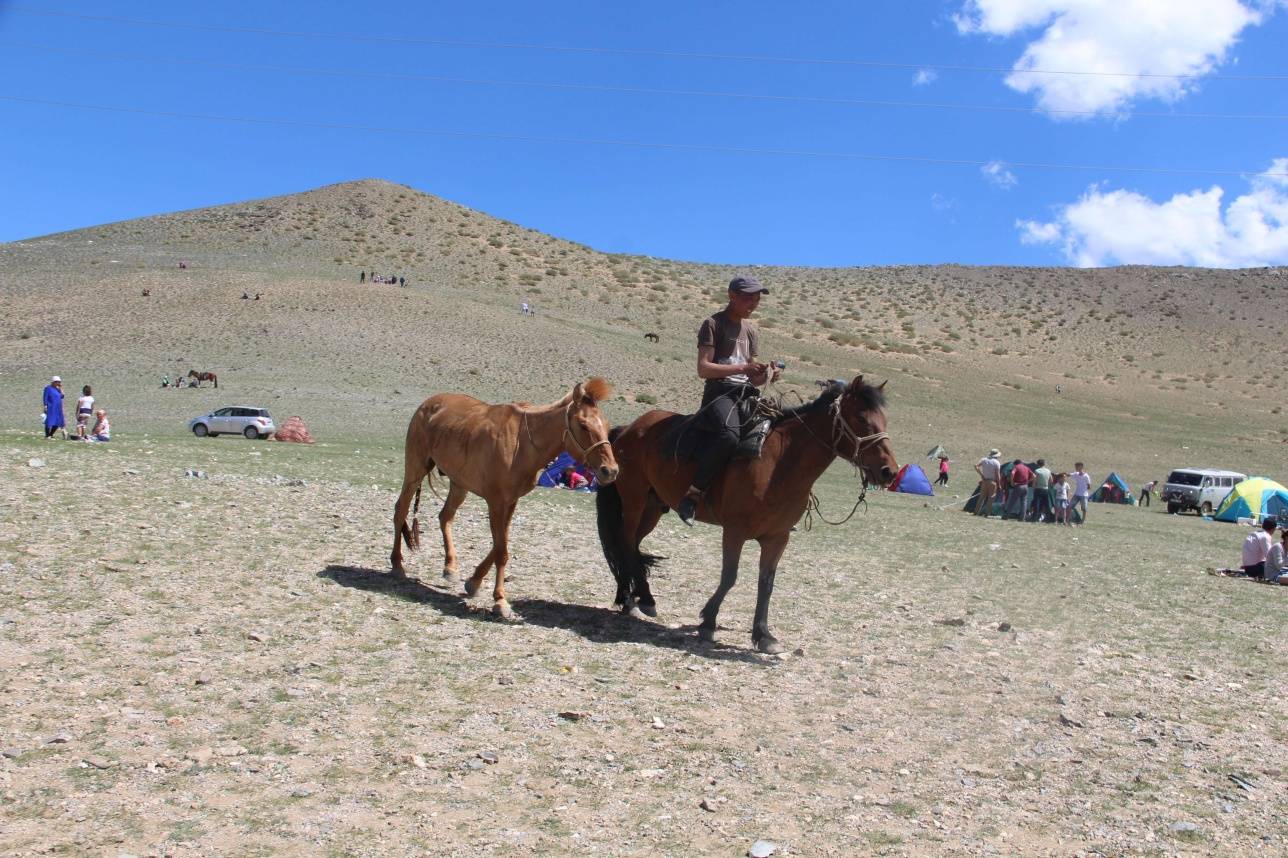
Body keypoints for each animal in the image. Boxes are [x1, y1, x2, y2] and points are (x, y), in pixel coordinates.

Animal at [388, 373, 620, 615]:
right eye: (583, 425)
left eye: (607, 426)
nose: (610, 471)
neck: (523, 445)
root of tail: (427, 404)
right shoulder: (496, 502)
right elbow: (501, 551)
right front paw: (500, 601)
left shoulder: (510, 501)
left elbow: (501, 543)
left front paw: (474, 582)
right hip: (415, 470)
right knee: (401, 510)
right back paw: (397, 564)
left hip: (459, 484)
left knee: (445, 517)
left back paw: (450, 567)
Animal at [592, 373, 896, 649]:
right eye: (861, 418)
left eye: (884, 420)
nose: (889, 472)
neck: (780, 464)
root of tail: (628, 429)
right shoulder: (734, 531)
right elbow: (730, 576)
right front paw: (708, 621)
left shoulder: (777, 537)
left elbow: (766, 584)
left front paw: (763, 635)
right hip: (634, 500)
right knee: (625, 541)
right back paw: (637, 599)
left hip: (653, 507)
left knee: (631, 544)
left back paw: (635, 598)